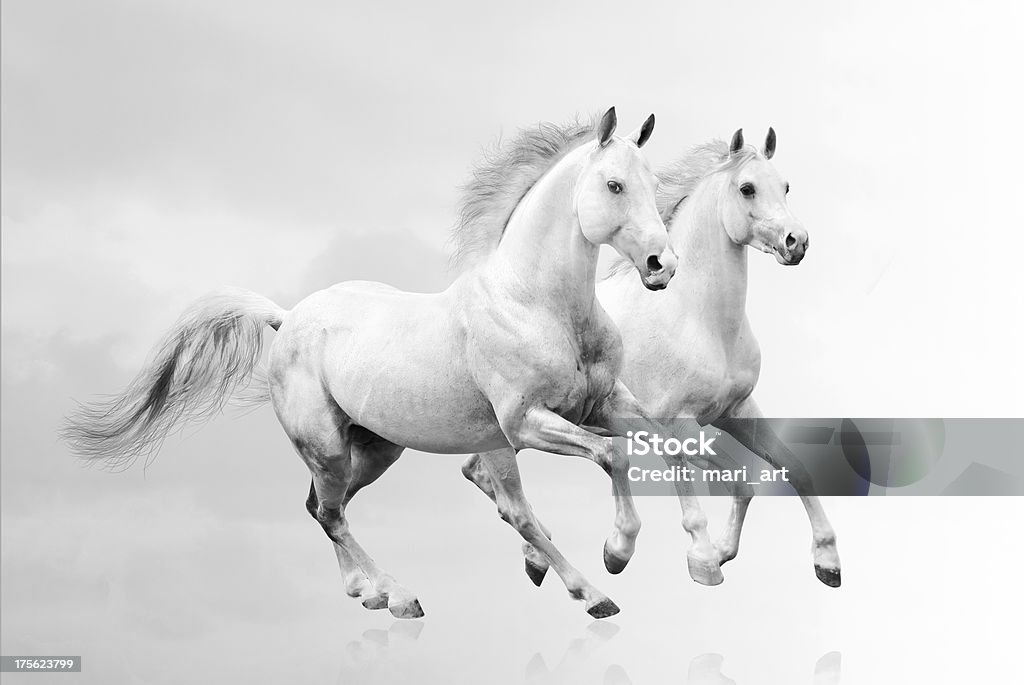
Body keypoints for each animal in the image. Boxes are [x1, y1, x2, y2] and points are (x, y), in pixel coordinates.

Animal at [64, 108, 679, 618]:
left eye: (653, 185)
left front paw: (628, 549)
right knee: (334, 513)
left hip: (376, 448)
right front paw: (613, 560)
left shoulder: (603, 402)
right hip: (329, 447)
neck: (536, 305)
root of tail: (287, 318)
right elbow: (610, 456)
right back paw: (401, 597)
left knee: (320, 507)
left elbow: (658, 442)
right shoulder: (524, 423)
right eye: (614, 185)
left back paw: (366, 592)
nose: (662, 265)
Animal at [468, 127, 843, 589]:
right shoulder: (676, 421)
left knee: (478, 473)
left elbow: (783, 470)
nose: (797, 242)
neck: (699, 319)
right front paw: (699, 560)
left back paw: (537, 559)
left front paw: (826, 562)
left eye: (786, 186)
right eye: (747, 188)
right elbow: (698, 477)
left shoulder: (737, 412)